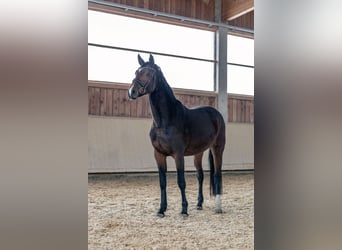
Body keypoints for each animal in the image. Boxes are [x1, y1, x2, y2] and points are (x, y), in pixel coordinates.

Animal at [127, 54, 226, 217]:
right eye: (136, 72)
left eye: (149, 73)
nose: (132, 92)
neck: (165, 121)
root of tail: (216, 113)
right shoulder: (159, 154)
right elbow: (162, 182)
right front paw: (161, 209)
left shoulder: (178, 155)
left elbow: (181, 181)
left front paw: (184, 210)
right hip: (198, 152)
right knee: (200, 176)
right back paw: (199, 204)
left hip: (217, 148)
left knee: (217, 174)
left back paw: (218, 208)